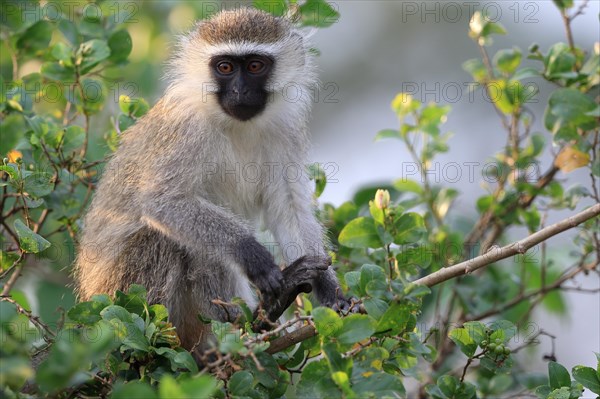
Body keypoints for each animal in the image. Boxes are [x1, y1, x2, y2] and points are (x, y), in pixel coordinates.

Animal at [74, 7, 346, 354]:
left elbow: (288, 207)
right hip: (122, 293)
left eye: (255, 66)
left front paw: (329, 288)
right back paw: (237, 322)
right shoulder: (187, 126)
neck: (237, 124)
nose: (240, 91)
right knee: (168, 239)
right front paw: (253, 254)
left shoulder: (286, 128)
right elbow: (162, 201)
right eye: (225, 67)